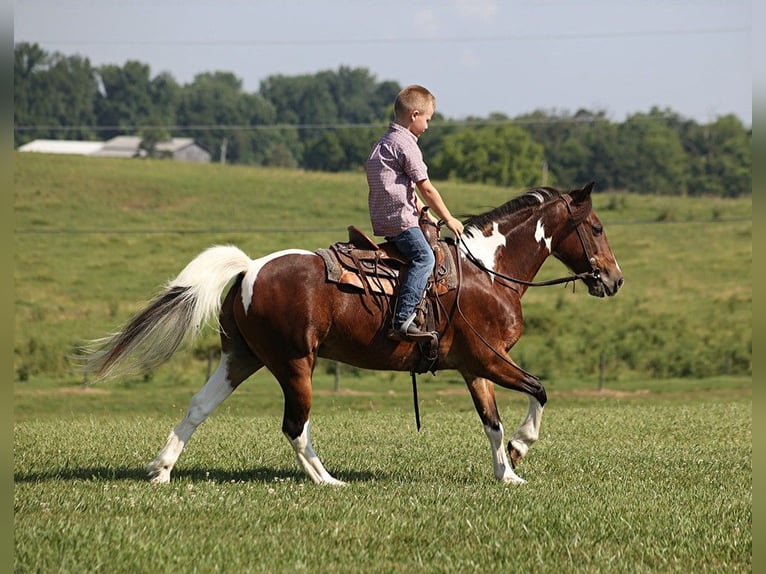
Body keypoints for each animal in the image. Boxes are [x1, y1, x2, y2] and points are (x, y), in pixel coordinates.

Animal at [81, 181, 623, 486]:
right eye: (596, 228)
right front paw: (520, 448)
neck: (488, 272)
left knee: (197, 409)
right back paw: (328, 481)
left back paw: (161, 471)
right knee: (295, 426)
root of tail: (250, 268)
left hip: (240, 359)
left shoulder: (474, 368)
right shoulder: (489, 359)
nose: (614, 280)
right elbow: (539, 391)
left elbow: (491, 421)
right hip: (294, 364)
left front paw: (506, 473)